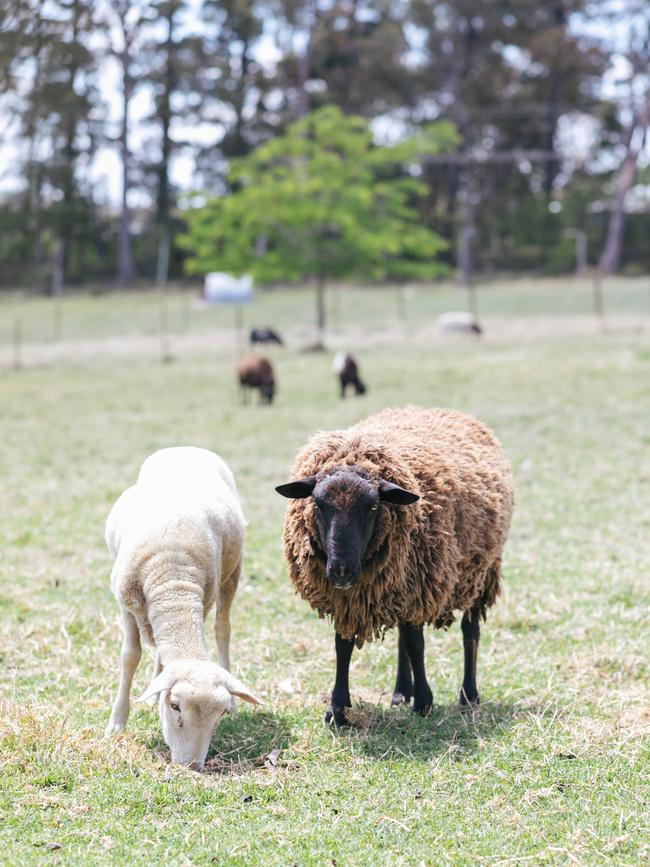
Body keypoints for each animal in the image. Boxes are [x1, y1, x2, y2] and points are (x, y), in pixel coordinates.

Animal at [104, 448, 260, 772]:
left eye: (220, 715)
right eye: (175, 706)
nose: (191, 766)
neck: (172, 580)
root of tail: (187, 448)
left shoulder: (203, 600)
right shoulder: (126, 603)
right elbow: (130, 657)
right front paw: (117, 722)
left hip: (231, 573)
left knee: (222, 630)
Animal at [274, 406, 512, 724]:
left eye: (373, 506)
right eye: (318, 504)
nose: (341, 571)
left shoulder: (420, 585)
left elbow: (416, 644)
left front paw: (424, 702)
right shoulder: (352, 597)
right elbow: (343, 645)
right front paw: (338, 708)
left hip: (480, 572)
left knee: (469, 632)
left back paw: (468, 695)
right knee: (403, 635)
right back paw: (401, 691)